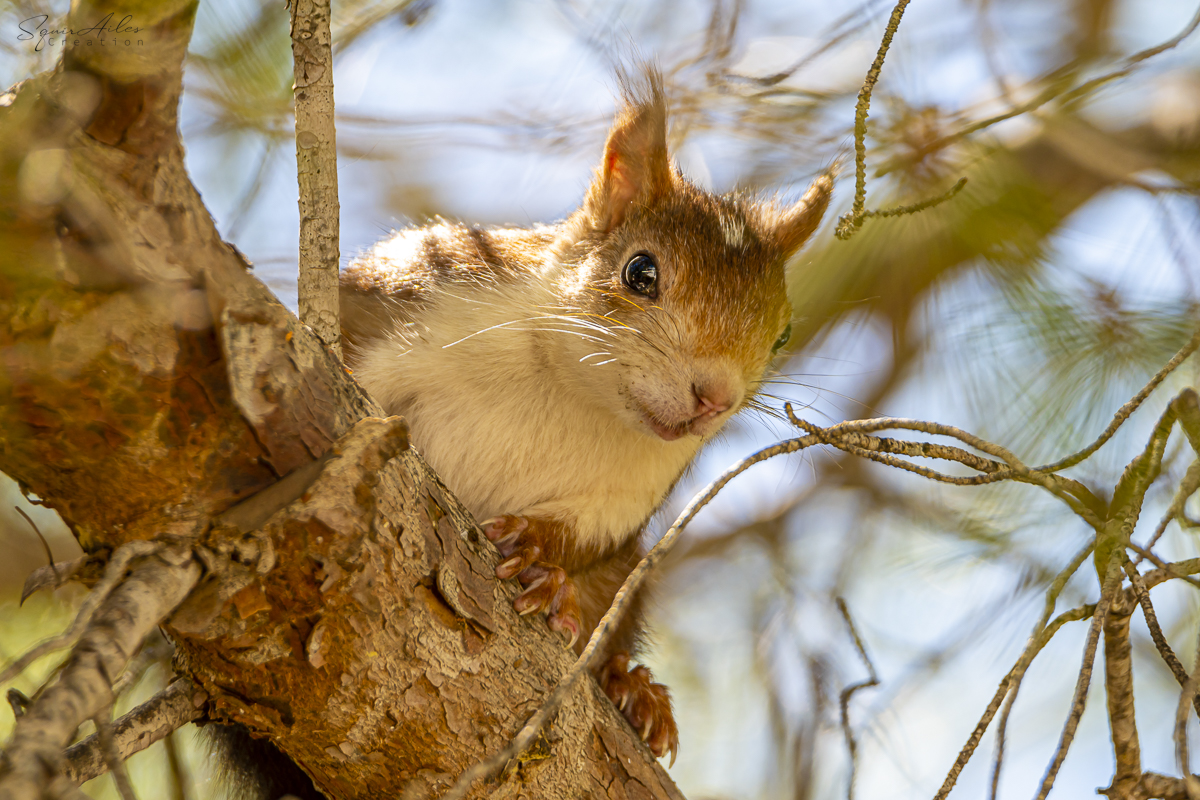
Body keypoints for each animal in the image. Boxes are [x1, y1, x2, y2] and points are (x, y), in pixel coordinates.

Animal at [338, 71, 825, 767]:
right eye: (640, 271)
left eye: (782, 333)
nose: (714, 398)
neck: (571, 389)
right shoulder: (420, 300)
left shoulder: (630, 487)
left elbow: (588, 531)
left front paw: (543, 562)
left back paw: (632, 688)